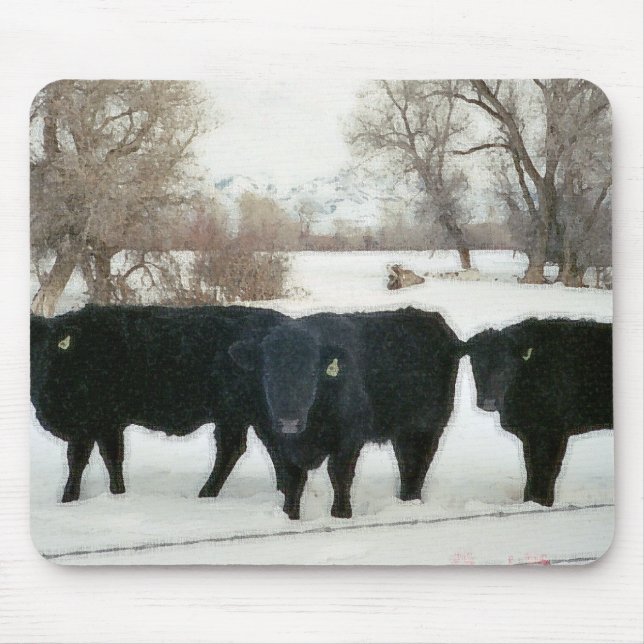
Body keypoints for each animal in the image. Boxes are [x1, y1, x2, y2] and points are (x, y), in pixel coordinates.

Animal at [30, 304, 288, 503]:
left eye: (50, 348)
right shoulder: (105, 424)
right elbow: (109, 458)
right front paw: (115, 494)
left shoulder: (90, 423)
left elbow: (80, 461)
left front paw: (71, 499)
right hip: (236, 416)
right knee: (243, 448)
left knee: (257, 449)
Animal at [228, 307, 463, 519]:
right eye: (268, 373)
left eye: (312, 372)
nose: (289, 421)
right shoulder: (283, 443)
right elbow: (292, 480)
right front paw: (289, 516)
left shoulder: (349, 438)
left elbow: (339, 474)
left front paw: (341, 514)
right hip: (405, 433)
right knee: (408, 465)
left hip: (429, 427)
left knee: (419, 465)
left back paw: (409, 504)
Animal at [466, 318, 612, 507]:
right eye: (477, 366)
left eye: (505, 367)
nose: (488, 402)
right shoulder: (530, 433)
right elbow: (531, 469)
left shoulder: (551, 431)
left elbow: (544, 470)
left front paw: (540, 502)